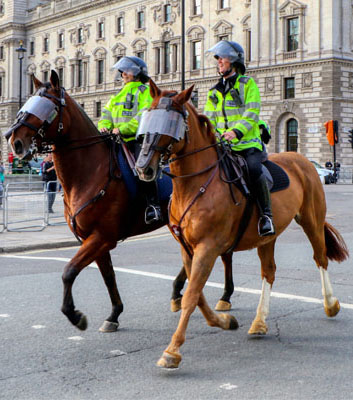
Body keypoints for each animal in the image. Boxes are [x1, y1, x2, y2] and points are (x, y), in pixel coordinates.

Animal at [4, 71, 234, 332]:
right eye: (28, 102)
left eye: (48, 106)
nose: (13, 139)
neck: (91, 172)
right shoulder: (93, 238)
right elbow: (108, 276)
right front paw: (114, 314)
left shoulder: (102, 237)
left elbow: (69, 271)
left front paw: (75, 315)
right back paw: (179, 292)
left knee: (223, 253)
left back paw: (224, 295)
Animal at [135, 80, 346, 368]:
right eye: (148, 116)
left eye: (170, 122)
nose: (143, 167)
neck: (195, 186)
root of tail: (301, 159)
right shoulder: (187, 248)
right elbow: (197, 295)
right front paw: (224, 321)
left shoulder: (208, 247)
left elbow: (192, 295)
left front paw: (173, 350)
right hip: (267, 237)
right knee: (269, 272)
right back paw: (260, 321)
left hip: (311, 220)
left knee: (320, 258)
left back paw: (331, 303)